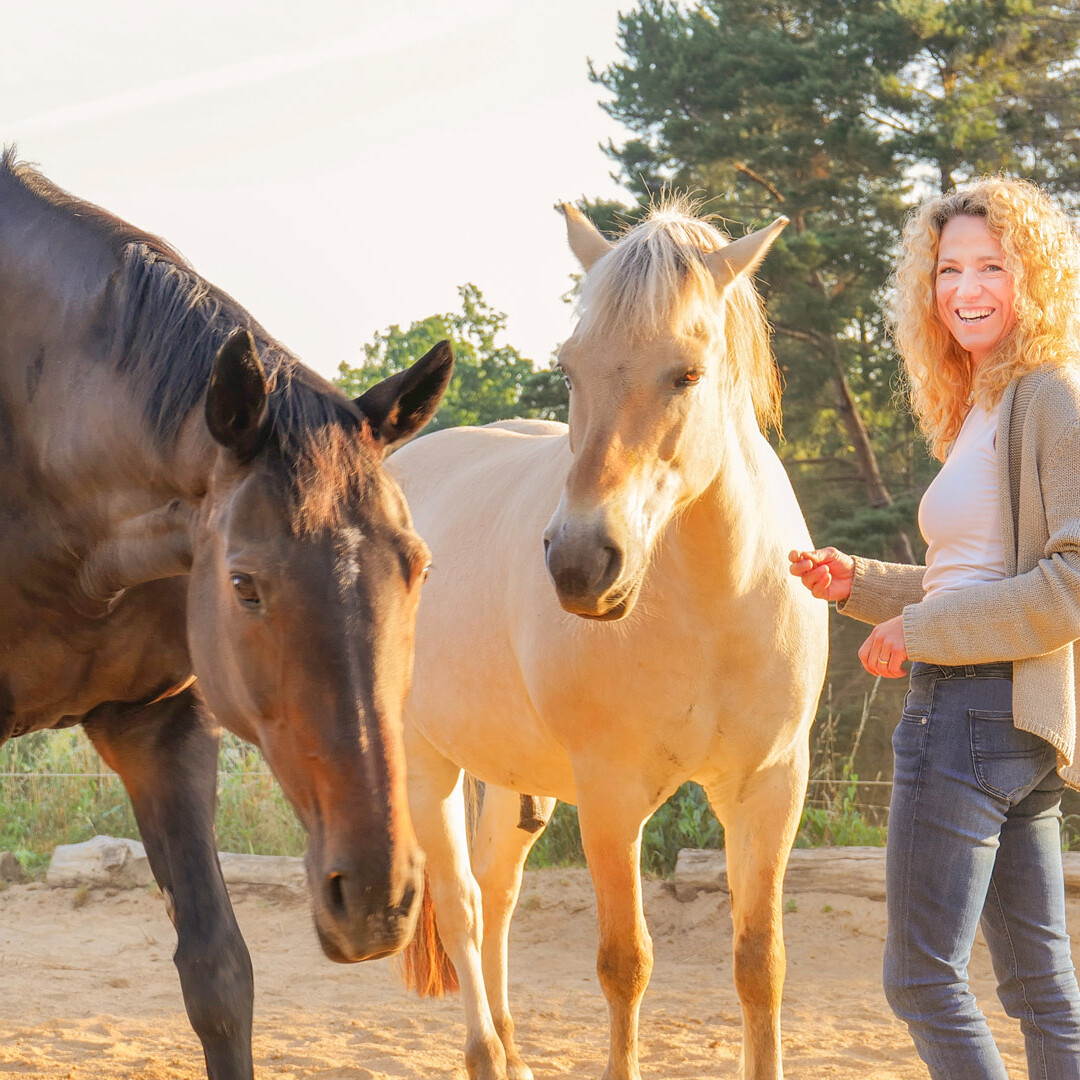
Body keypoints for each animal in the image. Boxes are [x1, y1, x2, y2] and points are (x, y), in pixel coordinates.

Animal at [388, 200, 829, 1080]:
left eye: (686, 374)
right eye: (569, 369)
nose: (580, 562)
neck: (712, 609)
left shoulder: (769, 788)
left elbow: (759, 963)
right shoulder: (611, 797)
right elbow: (625, 964)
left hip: (512, 783)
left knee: (496, 894)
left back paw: (514, 1055)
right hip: (429, 766)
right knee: (459, 907)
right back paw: (486, 1055)